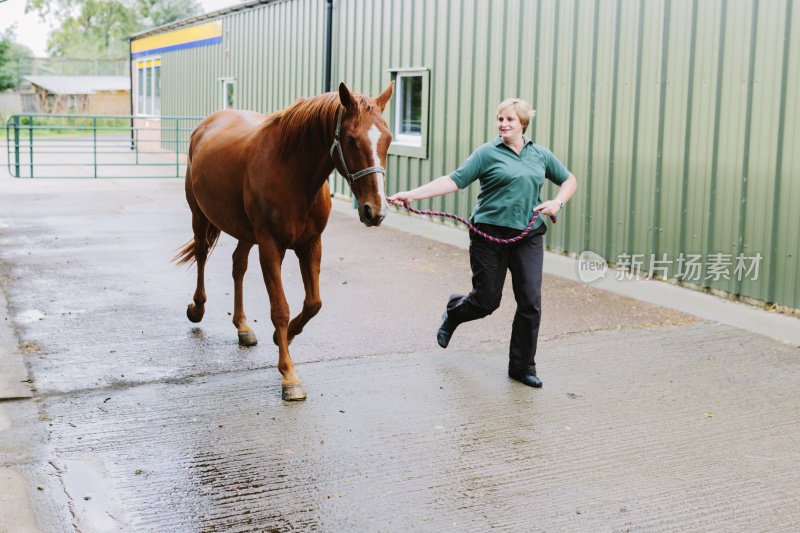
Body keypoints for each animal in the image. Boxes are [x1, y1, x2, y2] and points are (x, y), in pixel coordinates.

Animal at [178, 82, 396, 400]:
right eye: (351, 140)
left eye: (388, 140)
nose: (374, 211)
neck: (292, 173)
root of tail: (204, 126)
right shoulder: (271, 247)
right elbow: (280, 309)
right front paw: (289, 376)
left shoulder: (311, 244)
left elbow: (313, 303)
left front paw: (287, 337)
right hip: (200, 216)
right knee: (203, 254)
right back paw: (197, 308)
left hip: (246, 231)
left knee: (238, 265)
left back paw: (243, 326)